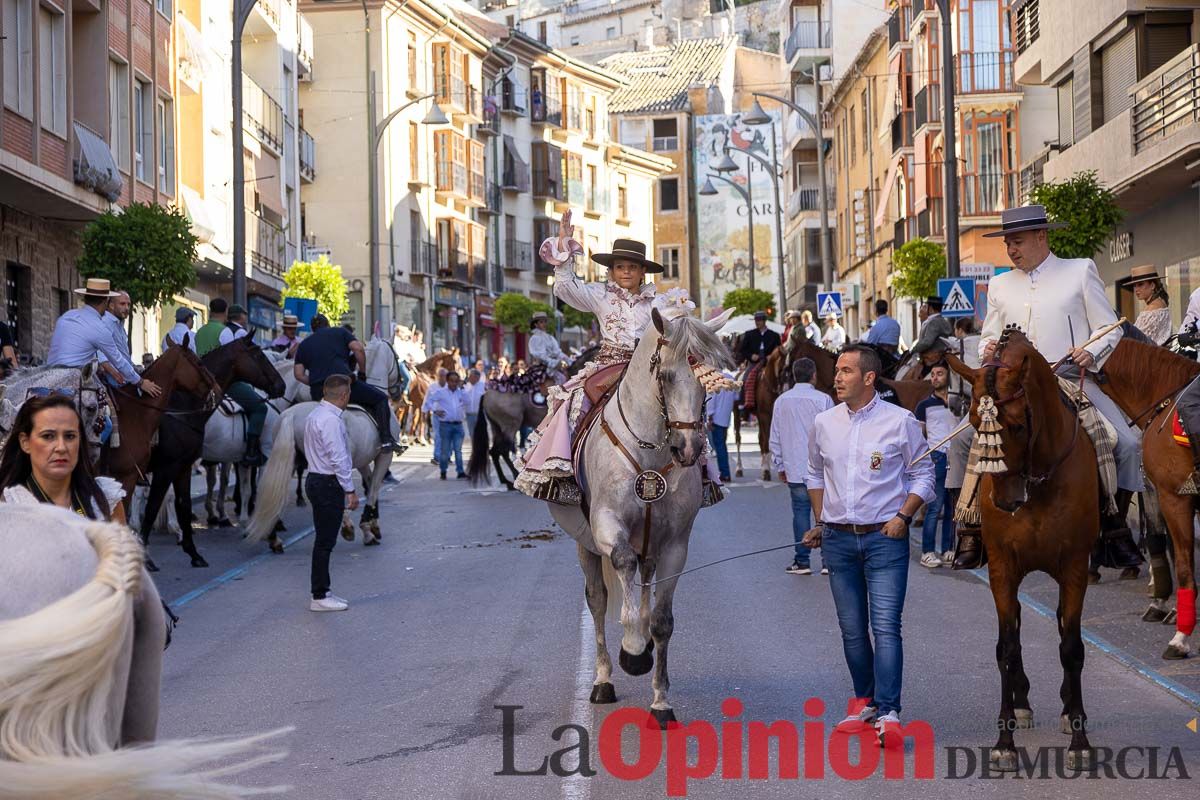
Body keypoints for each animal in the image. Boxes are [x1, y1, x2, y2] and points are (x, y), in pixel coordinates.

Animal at [243, 402, 393, 546]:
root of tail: (291, 414)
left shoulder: (363, 462)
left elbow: (370, 484)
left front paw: (372, 526)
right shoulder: (384, 457)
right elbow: (373, 490)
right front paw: (368, 529)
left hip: (287, 463)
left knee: (272, 494)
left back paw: (273, 538)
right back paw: (347, 526)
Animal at [544, 309, 729, 729]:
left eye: (711, 380)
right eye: (666, 376)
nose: (689, 448)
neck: (651, 453)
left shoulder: (676, 545)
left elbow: (662, 621)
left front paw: (660, 700)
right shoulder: (606, 525)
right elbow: (622, 564)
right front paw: (630, 647)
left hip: (652, 547)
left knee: (643, 587)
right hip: (585, 544)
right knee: (598, 599)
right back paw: (603, 679)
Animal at [945, 328, 1099, 772]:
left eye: (1015, 425)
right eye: (975, 424)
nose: (1004, 502)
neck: (1038, 481)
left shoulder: (1074, 568)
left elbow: (1071, 647)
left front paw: (1079, 739)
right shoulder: (1002, 569)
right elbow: (1007, 648)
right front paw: (1004, 741)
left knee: (1064, 628)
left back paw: (1067, 708)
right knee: (1015, 626)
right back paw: (1022, 702)